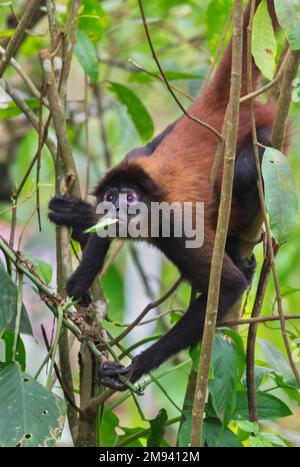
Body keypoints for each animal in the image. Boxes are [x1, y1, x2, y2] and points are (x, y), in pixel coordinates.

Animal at [48, 0, 282, 392]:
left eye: (129, 199)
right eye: (112, 196)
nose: (116, 207)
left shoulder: (174, 226)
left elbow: (229, 287)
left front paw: (133, 368)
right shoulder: (133, 171)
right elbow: (82, 275)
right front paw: (85, 248)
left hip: (268, 138)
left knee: (244, 172)